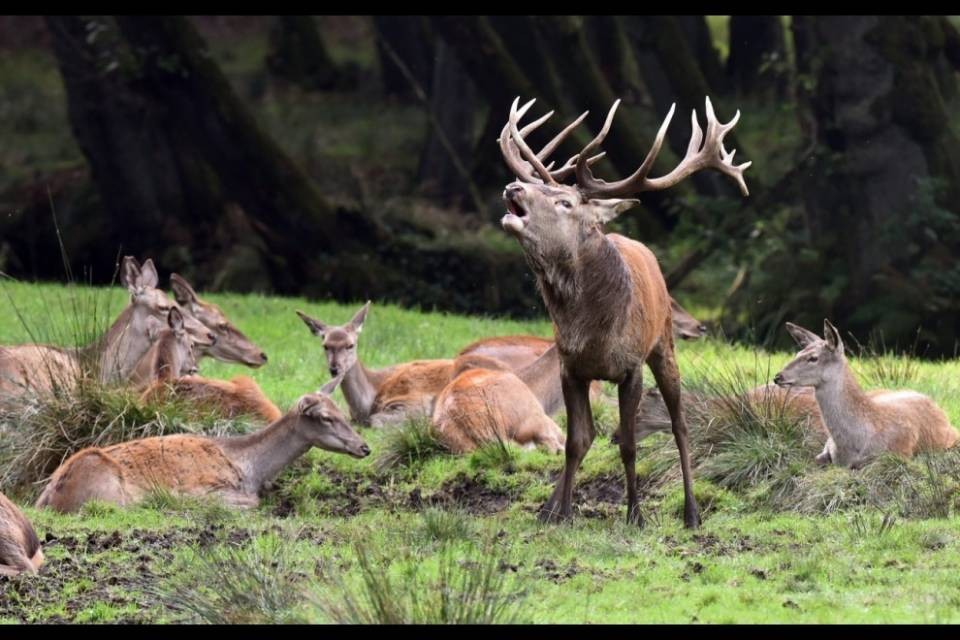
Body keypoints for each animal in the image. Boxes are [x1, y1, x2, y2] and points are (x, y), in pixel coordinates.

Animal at [35, 376, 369, 513]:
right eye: (325, 418)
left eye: (342, 412)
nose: (364, 447)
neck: (248, 469)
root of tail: (47, 498)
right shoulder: (208, 485)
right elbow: (251, 502)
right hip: (104, 486)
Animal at [497, 95, 751, 528]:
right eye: (537, 186)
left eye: (564, 202)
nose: (513, 185)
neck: (593, 330)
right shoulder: (571, 367)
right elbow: (576, 441)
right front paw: (561, 513)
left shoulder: (630, 367)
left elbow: (630, 444)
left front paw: (635, 514)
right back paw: (548, 509)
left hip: (664, 345)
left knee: (681, 425)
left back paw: (692, 513)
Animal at [773, 320, 959, 468]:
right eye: (798, 353)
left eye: (813, 358)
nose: (778, 376)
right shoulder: (827, 446)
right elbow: (817, 459)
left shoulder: (900, 453)